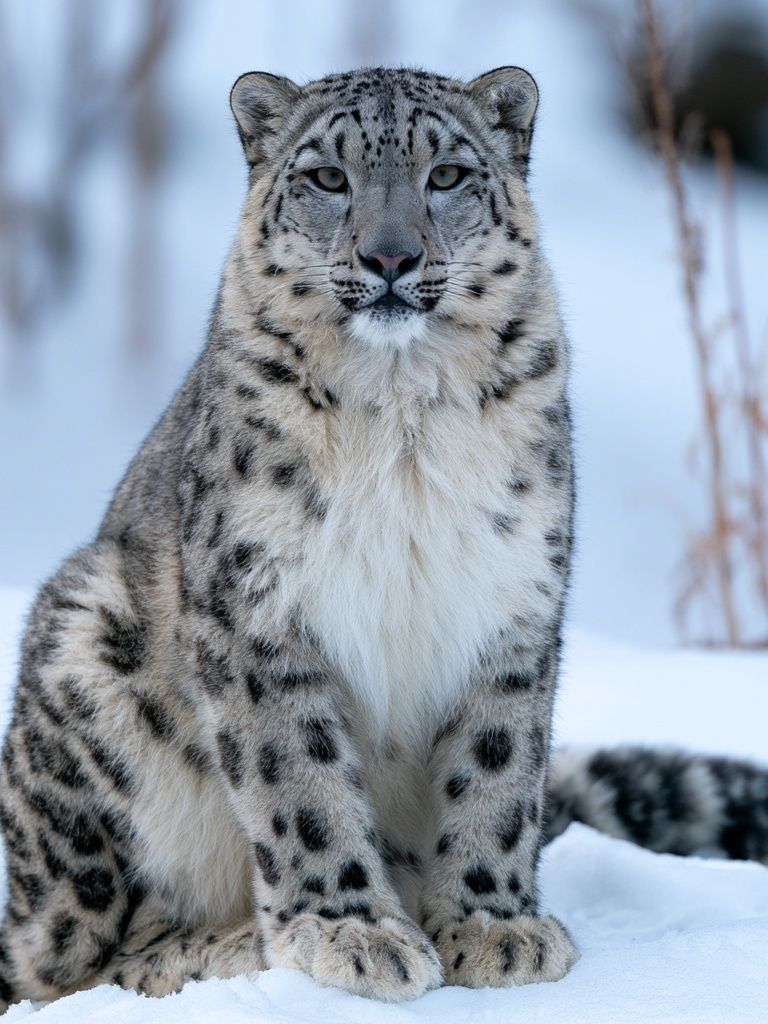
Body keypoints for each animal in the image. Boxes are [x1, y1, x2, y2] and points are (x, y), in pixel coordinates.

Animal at [2, 65, 766, 1011]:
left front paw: (492, 925)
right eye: (329, 178)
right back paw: (224, 947)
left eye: (448, 176)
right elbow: (299, 780)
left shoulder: (513, 599)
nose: (392, 258)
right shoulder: (259, 610)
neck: (404, 416)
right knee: (70, 960)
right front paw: (351, 933)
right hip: (84, 641)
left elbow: (499, 770)